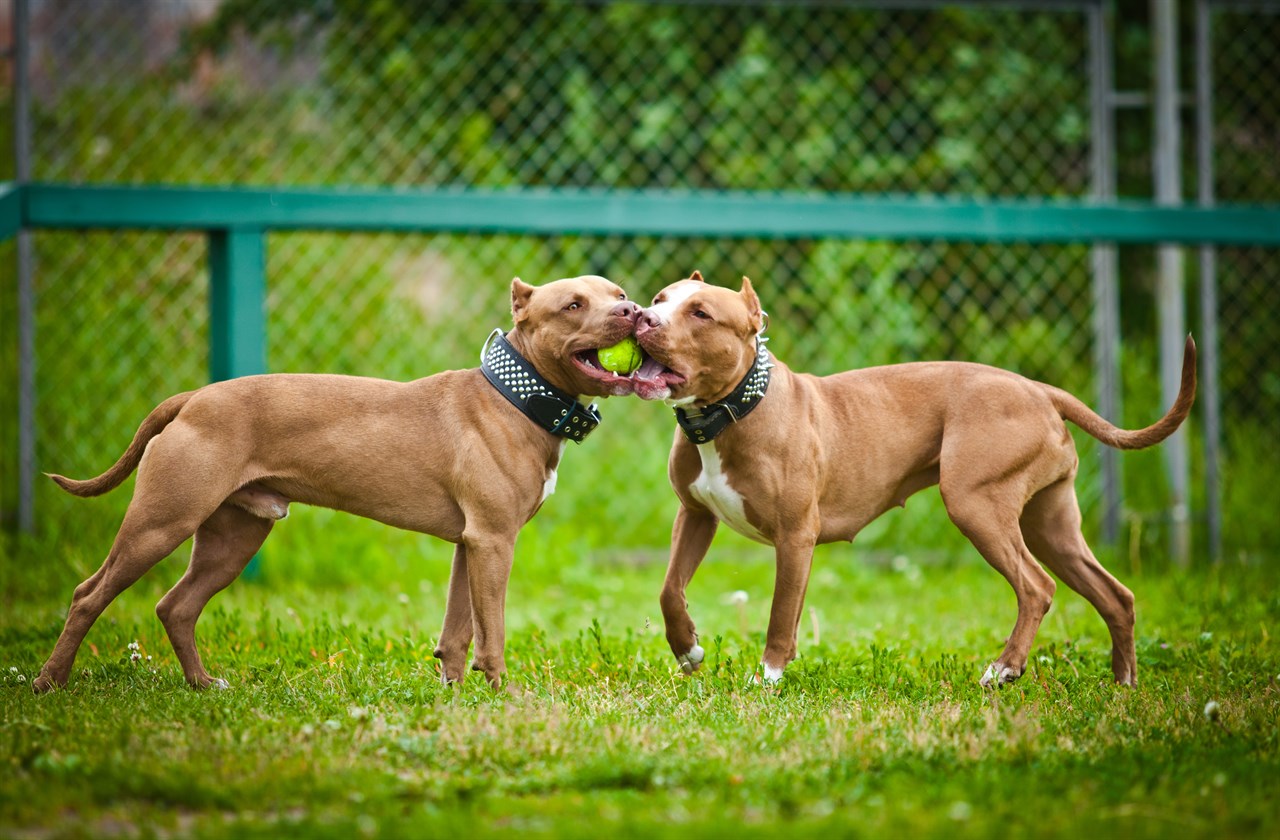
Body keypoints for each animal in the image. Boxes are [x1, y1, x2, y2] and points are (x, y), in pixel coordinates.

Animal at [32, 275, 640, 696]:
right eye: (573, 305)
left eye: (619, 293)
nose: (633, 312)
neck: (517, 394)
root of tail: (192, 398)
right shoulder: (492, 541)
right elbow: (492, 633)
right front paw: (503, 697)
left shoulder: (472, 545)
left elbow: (458, 631)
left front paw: (455, 696)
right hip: (160, 523)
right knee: (89, 594)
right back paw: (49, 682)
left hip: (233, 537)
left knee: (177, 607)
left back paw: (203, 685)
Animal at [634, 272, 1192, 686]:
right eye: (659, 300)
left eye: (700, 313)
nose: (641, 317)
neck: (731, 411)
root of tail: (1038, 389)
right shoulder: (695, 516)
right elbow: (669, 589)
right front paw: (687, 650)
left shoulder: (795, 536)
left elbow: (779, 612)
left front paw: (766, 679)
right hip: (1050, 525)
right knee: (1114, 595)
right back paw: (1123, 683)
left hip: (975, 503)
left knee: (1036, 587)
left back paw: (1004, 668)